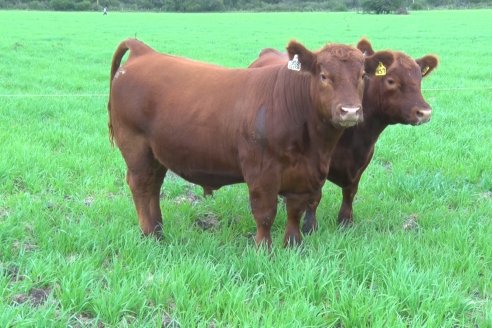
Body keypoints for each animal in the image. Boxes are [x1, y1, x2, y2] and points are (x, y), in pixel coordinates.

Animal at [107, 39, 368, 246]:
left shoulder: (304, 174)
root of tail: (145, 52)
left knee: (154, 185)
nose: (350, 111)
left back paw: (159, 228)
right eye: (324, 76)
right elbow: (265, 213)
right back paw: (150, 233)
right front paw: (264, 249)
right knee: (141, 185)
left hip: (156, 153)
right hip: (135, 146)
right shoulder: (261, 171)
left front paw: (294, 245)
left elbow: (295, 210)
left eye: (362, 76)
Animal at [246, 39, 438, 233]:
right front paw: (310, 226)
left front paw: (346, 221)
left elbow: (350, 192)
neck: (356, 139)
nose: (425, 112)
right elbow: (315, 196)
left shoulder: (362, 162)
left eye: (419, 79)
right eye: (391, 80)